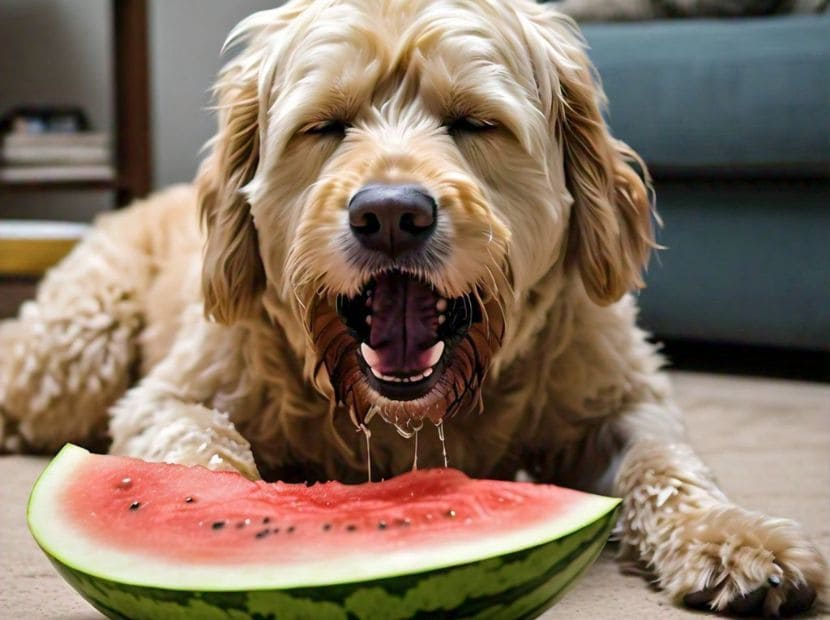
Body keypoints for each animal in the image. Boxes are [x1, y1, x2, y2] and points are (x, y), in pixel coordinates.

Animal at [3, 0, 828, 616]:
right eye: (325, 125)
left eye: (475, 122)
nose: (392, 214)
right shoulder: (172, 396)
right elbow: (199, 449)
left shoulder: (620, 402)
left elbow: (668, 463)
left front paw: (733, 534)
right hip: (75, 354)